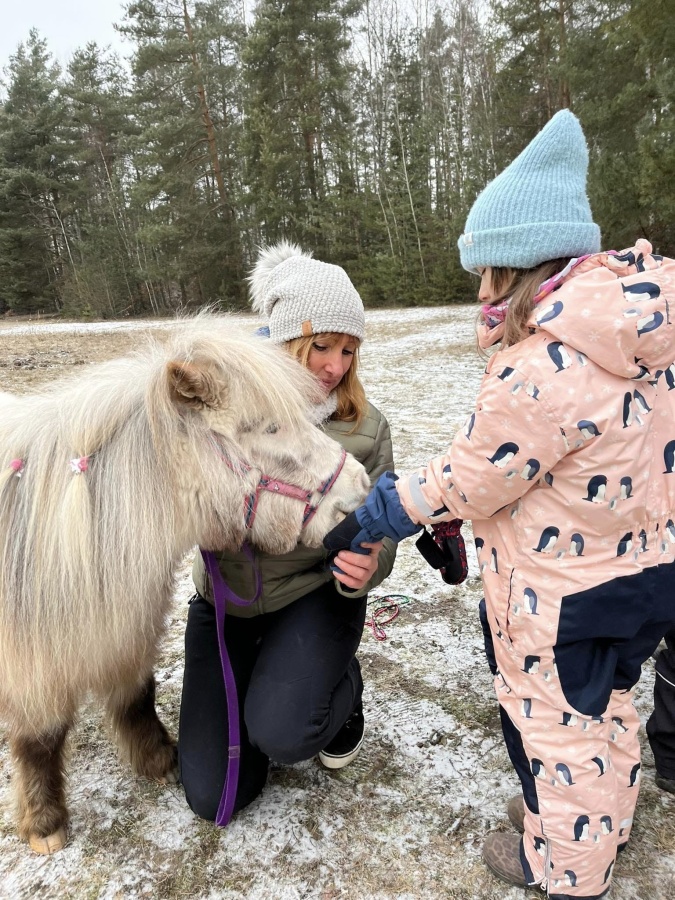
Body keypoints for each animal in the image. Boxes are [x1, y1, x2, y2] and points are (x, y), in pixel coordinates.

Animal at [0, 314, 370, 854]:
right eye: (271, 426)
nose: (361, 488)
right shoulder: (31, 660)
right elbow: (39, 736)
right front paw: (45, 824)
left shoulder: (126, 629)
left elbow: (137, 694)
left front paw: (160, 760)